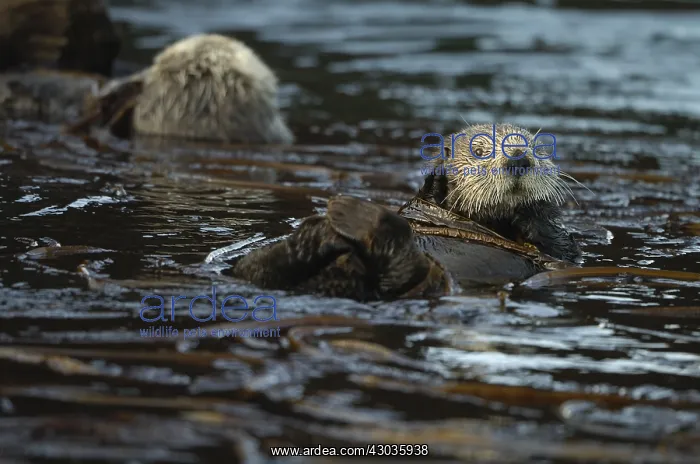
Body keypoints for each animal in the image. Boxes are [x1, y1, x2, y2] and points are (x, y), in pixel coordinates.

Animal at [230, 123, 582, 300]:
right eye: (481, 151)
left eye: (535, 149)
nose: (519, 158)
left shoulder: (559, 251)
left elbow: (561, 246)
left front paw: (530, 213)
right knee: (256, 268)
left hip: (425, 278)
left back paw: (348, 215)